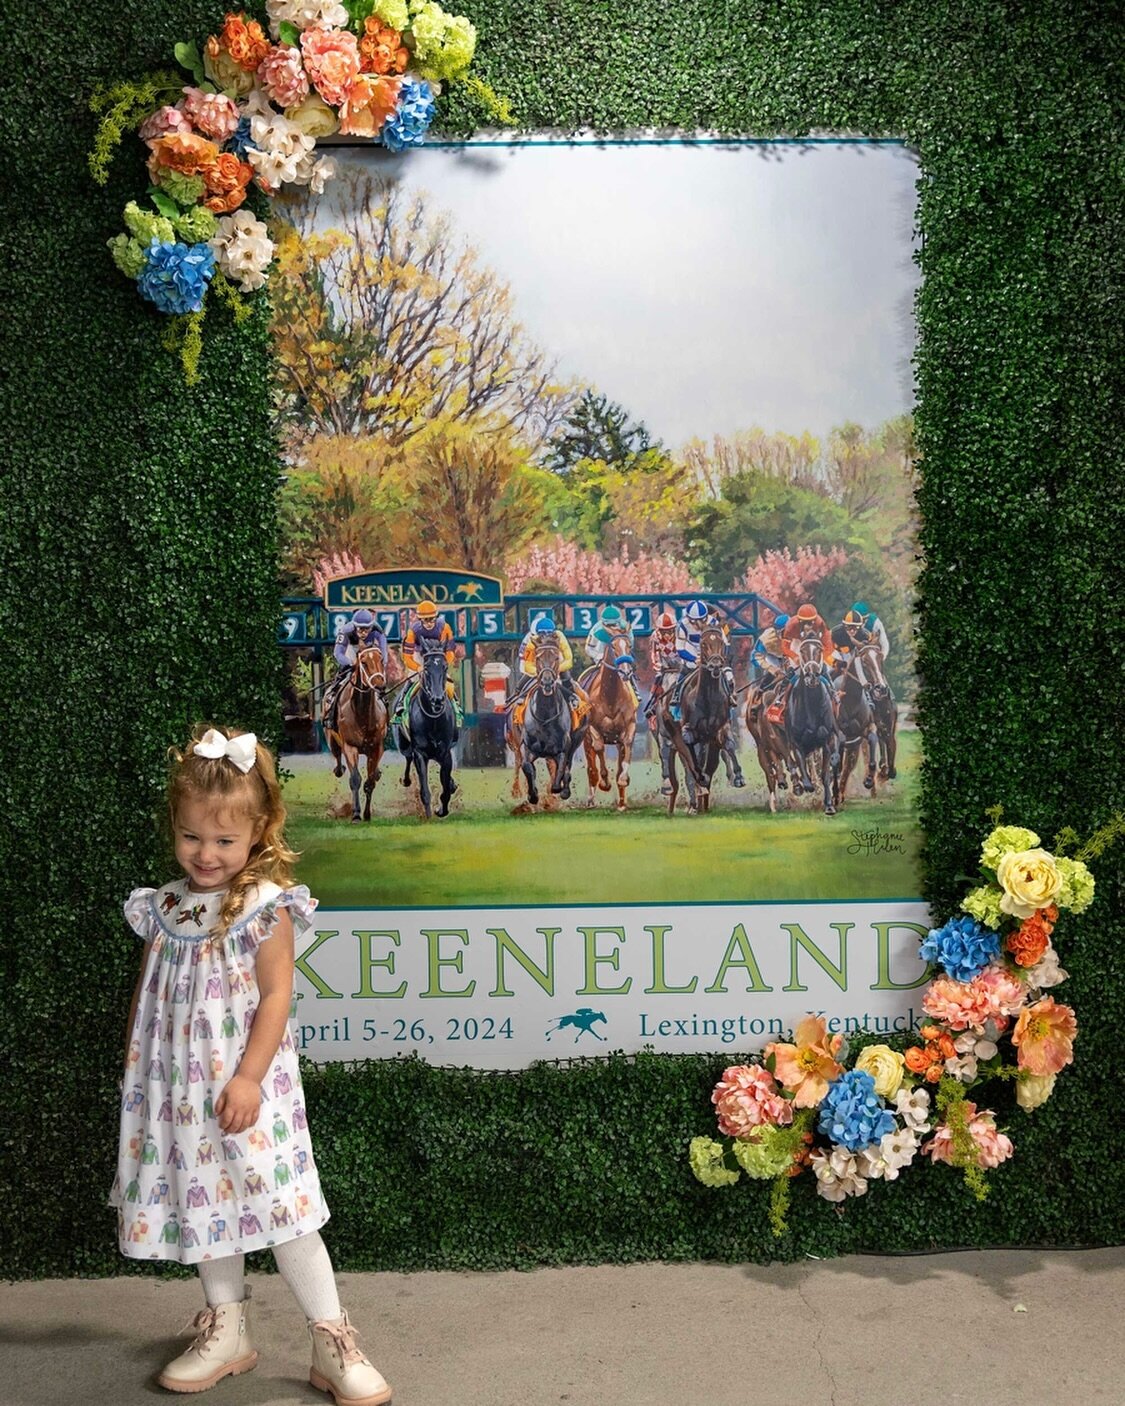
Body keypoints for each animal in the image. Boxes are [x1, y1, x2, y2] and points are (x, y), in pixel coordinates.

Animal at [324, 646, 390, 821]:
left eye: (381, 660)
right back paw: (339, 769)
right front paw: (356, 813)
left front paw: (367, 813)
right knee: (338, 763)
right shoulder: (350, 747)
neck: (363, 714)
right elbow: (355, 779)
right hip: (332, 741)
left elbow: (370, 781)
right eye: (364, 663)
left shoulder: (376, 747)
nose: (380, 686)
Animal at [396, 643, 455, 821]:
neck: (433, 720)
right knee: (407, 757)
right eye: (427, 668)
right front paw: (429, 815)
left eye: (445, 667)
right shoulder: (420, 753)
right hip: (403, 744)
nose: (437, 699)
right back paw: (406, 780)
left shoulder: (445, 752)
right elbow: (425, 790)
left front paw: (441, 810)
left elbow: (446, 789)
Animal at [585, 632, 638, 809]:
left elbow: (627, 746)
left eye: (629, 646)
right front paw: (604, 783)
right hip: (586, 741)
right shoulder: (593, 728)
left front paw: (623, 779)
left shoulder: (629, 726)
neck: (610, 696)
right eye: (613, 647)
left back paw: (621, 802)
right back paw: (591, 799)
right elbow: (599, 748)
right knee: (591, 768)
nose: (626, 672)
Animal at [787, 635, 838, 815]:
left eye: (819, 650)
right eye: (802, 650)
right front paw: (806, 786)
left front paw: (829, 804)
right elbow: (803, 771)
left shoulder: (827, 740)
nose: (812, 676)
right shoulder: (796, 742)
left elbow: (825, 775)